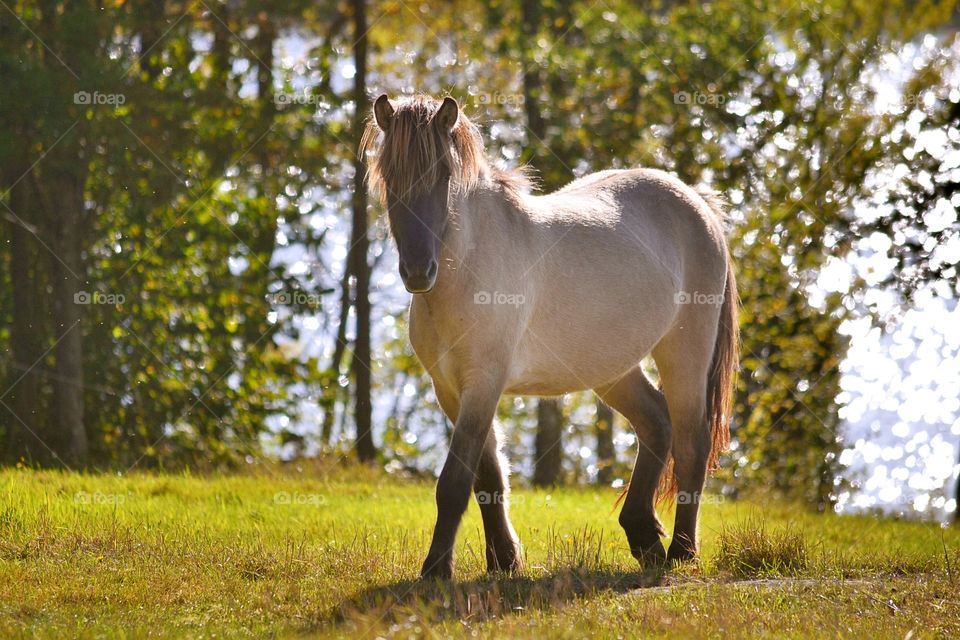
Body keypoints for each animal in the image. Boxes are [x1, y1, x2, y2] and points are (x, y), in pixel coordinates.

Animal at [361, 93, 738, 579]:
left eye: (443, 175)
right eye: (390, 176)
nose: (418, 271)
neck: (465, 271)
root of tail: (698, 203)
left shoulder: (483, 384)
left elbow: (456, 481)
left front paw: (437, 569)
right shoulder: (450, 389)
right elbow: (487, 477)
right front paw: (503, 561)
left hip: (685, 353)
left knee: (692, 442)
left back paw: (681, 552)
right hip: (611, 368)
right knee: (657, 422)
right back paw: (644, 537)